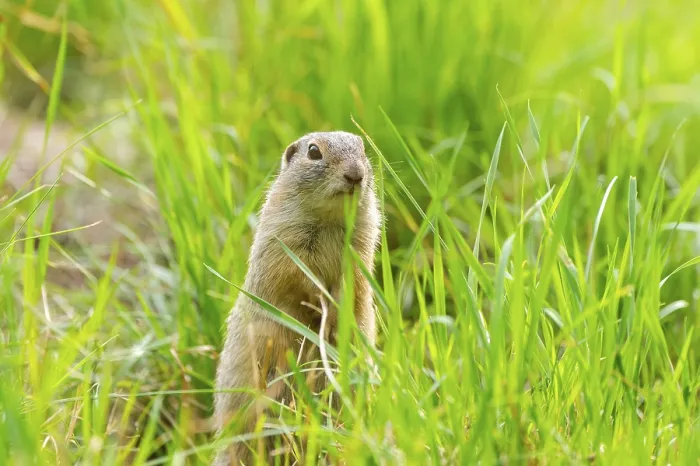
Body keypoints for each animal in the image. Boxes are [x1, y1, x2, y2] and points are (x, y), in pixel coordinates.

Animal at [212, 131, 382, 465]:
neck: (329, 220)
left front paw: (334, 315)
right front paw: (319, 306)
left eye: (363, 148)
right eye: (314, 152)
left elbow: (354, 283)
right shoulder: (284, 240)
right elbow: (295, 276)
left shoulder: (361, 246)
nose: (356, 175)